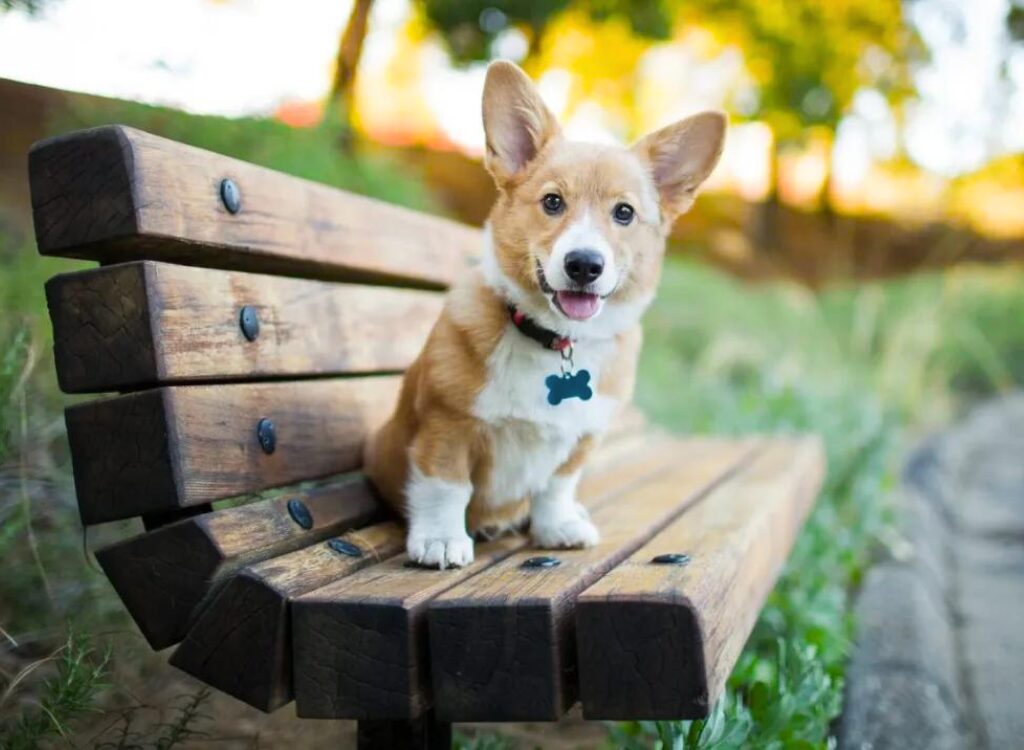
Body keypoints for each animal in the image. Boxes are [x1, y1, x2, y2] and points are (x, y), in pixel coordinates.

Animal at [364, 61, 724, 569]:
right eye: (553, 202)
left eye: (624, 213)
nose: (584, 265)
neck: (555, 340)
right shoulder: (447, 426)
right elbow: (446, 487)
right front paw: (440, 540)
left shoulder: (580, 439)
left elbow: (555, 487)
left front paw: (557, 527)